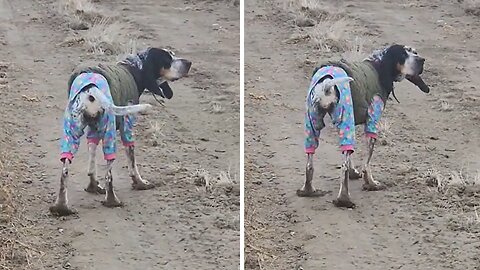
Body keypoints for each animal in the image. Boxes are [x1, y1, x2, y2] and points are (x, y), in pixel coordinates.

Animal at [48, 47, 191, 216]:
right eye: (168, 59)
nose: (189, 63)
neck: (135, 69)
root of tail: (91, 89)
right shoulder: (127, 127)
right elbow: (132, 161)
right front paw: (140, 182)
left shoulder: (93, 131)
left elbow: (92, 161)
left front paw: (93, 186)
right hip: (109, 134)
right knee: (109, 173)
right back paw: (112, 200)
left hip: (71, 134)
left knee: (64, 171)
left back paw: (61, 207)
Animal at [298, 44, 430, 209]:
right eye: (403, 54)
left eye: (414, 52)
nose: (422, 60)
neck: (378, 65)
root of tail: (326, 84)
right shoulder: (372, 123)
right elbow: (366, 163)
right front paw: (371, 183)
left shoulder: (347, 125)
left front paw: (355, 173)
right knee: (343, 168)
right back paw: (344, 199)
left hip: (313, 124)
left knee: (310, 162)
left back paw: (308, 190)